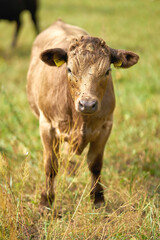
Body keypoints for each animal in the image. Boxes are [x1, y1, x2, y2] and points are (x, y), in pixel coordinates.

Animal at [26, 20, 139, 208]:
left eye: (107, 71)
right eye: (69, 69)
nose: (87, 104)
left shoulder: (105, 126)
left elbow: (95, 164)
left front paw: (98, 199)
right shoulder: (46, 125)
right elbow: (51, 165)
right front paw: (45, 201)